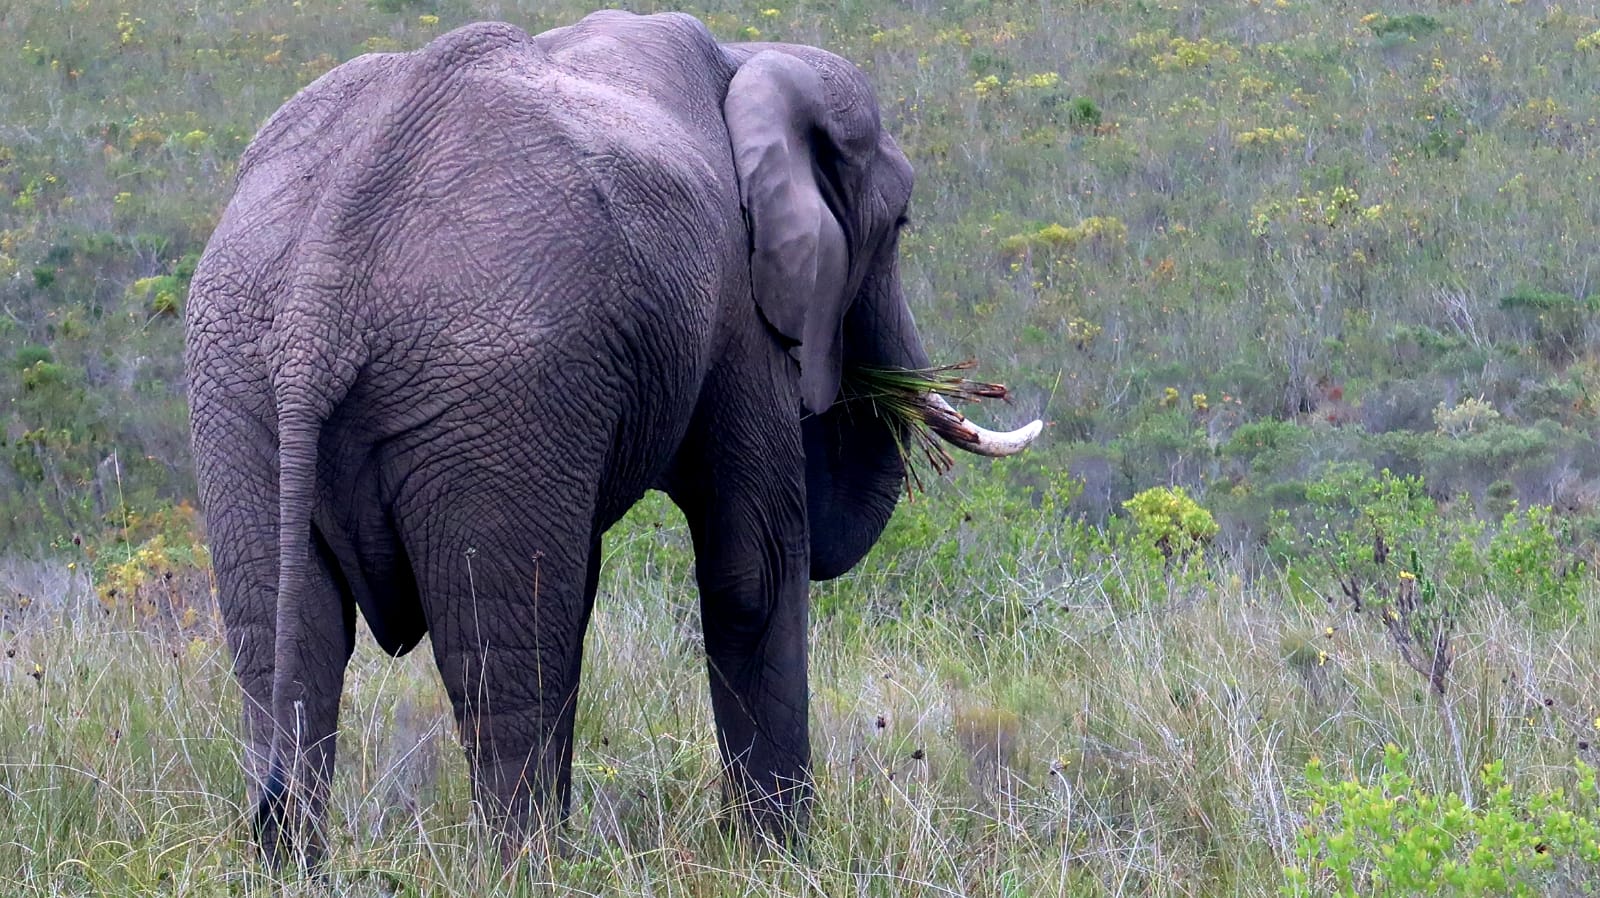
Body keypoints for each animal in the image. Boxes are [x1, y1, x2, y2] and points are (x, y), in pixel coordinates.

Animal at [184, 7, 1036, 864]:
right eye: (900, 224)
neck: (754, 61)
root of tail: (319, 293)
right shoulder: (737, 310)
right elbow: (752, 572)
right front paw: (784, 860)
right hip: (486, 391)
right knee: (505, 654)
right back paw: (529, 869)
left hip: (242, 389)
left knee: (286, 645)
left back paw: (295, 863)